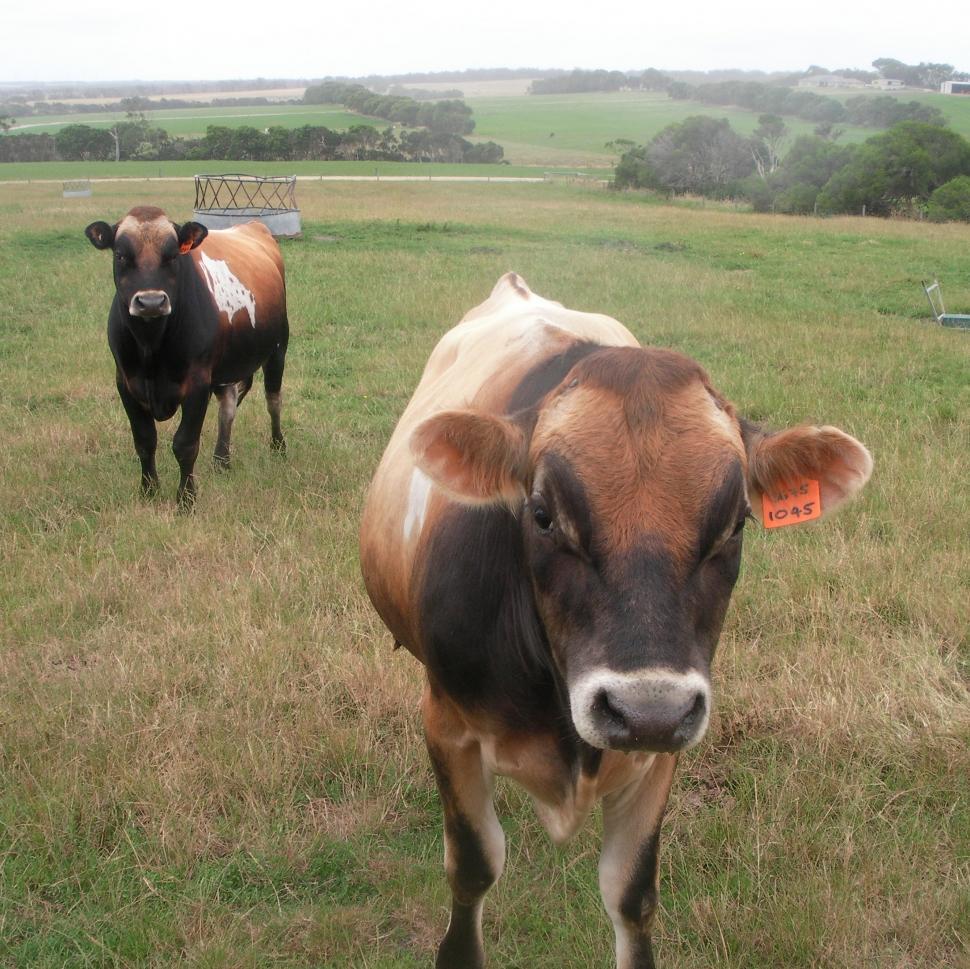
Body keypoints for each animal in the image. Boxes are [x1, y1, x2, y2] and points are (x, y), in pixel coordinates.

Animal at [85, 206, 288, 507]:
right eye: (120, 255)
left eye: (172, 256)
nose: (151, 302)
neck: (151, 345)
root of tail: (254, 226)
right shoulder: (125, 383)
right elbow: (144, 440)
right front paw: (149, 490)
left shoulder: (197, 385)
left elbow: (185, 444)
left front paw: (186, 499)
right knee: (228, 406)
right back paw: (221, 460)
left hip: (277, 349)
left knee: (273, 401)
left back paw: (277, 447)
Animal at [359, 272, 873, 969]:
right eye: (542, 514)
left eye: (737, 522)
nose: (646, 711)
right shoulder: (447, 724)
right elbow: (473, 865)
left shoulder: (663, 751)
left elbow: (631, 894)